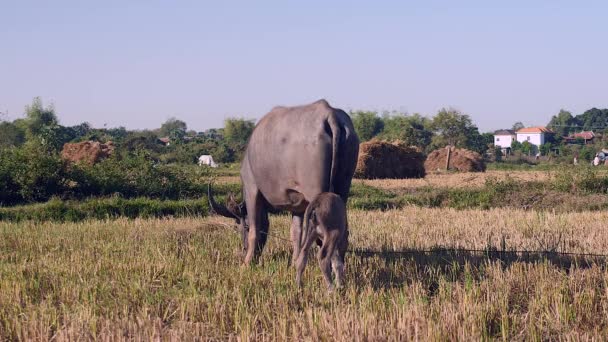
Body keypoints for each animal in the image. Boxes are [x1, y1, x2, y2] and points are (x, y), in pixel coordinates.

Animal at [209, 99, 360, 264]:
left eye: (239, 226)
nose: (243, 249)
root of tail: (329, 114)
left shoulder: (251, 189)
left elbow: (255, 230)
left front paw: (247, 262)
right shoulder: (298, 206)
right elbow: (296, 233)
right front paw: (295, 261)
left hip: (317, 193)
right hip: (343, 188)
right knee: (342, 235)